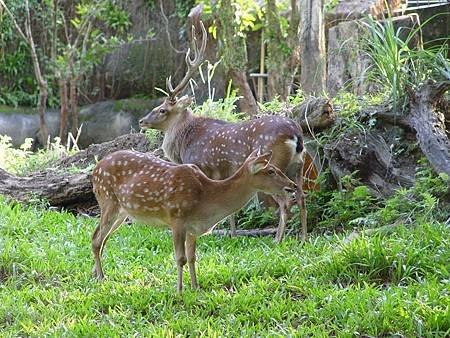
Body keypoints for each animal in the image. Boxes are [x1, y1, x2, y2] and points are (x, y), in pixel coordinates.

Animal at [90, 149, 298, 292]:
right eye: (271, 171)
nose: (293, 186)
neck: (206, 200)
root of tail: (95, 169)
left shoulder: (192, 227)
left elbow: (192, 257)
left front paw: (195, 287)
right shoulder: (177, 218)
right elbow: (180, 258)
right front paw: (179, 290)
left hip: (122, 212)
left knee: (102, 238)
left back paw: (95, 273)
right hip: (108, 199)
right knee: (96, 238)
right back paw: (101, 277)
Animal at [141, 21, 308, 243]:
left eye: (162, 110)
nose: (142, 121)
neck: (184, 144)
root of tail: (296, 134)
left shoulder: (202, 165)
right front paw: (232, 234)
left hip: (273, 165)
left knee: (285, 201)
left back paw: (277, 240)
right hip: (297, 165)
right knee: (302, 196)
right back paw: (304, 238)